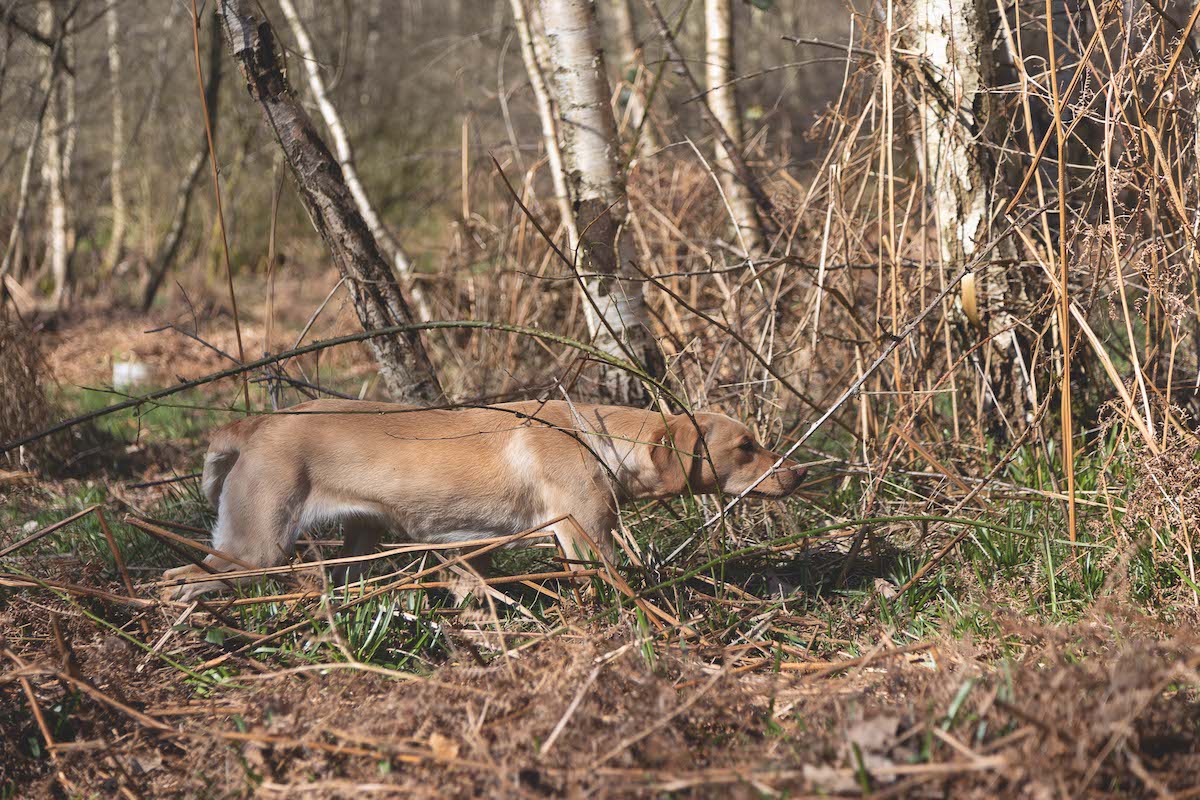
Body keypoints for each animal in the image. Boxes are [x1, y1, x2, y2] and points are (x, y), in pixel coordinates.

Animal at [159, 400, 806, 599]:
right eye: (746, 446)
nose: (798, 474)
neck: (597, 438)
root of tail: (253, 424)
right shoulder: (587, 542)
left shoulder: (475, 548)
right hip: (255, 547)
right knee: (174, 578)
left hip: (355, 542)